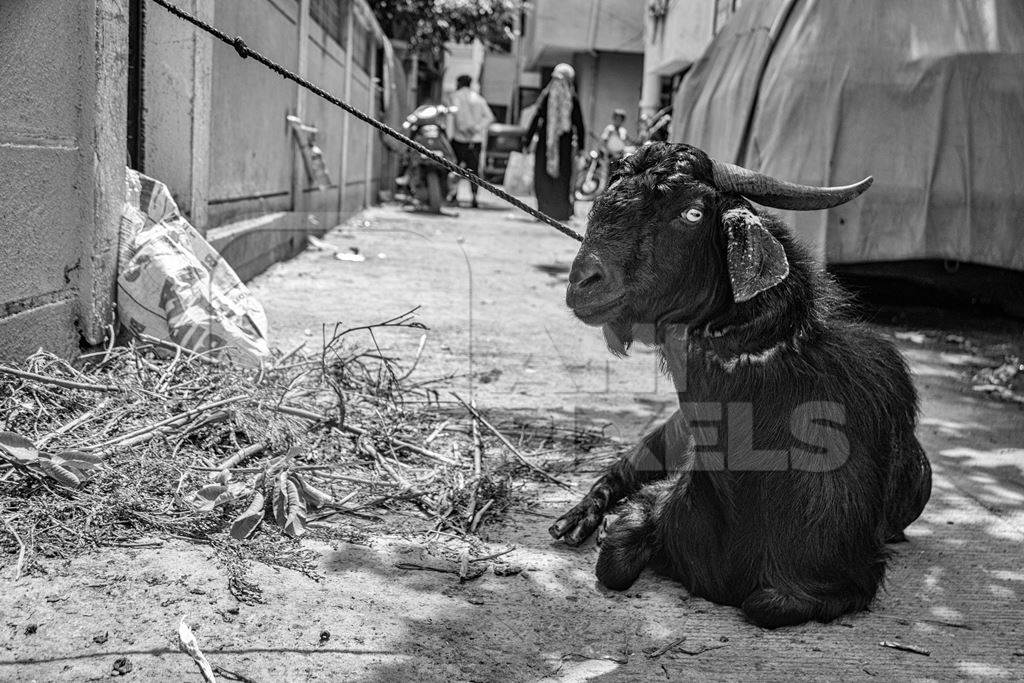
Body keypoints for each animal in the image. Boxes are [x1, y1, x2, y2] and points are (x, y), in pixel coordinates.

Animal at [557, 143, 933, 630]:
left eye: (693, 212)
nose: (582, 282)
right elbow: (614, 563)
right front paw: (603, 527)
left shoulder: (844, 577)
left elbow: (763, 605)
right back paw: (577, 519)